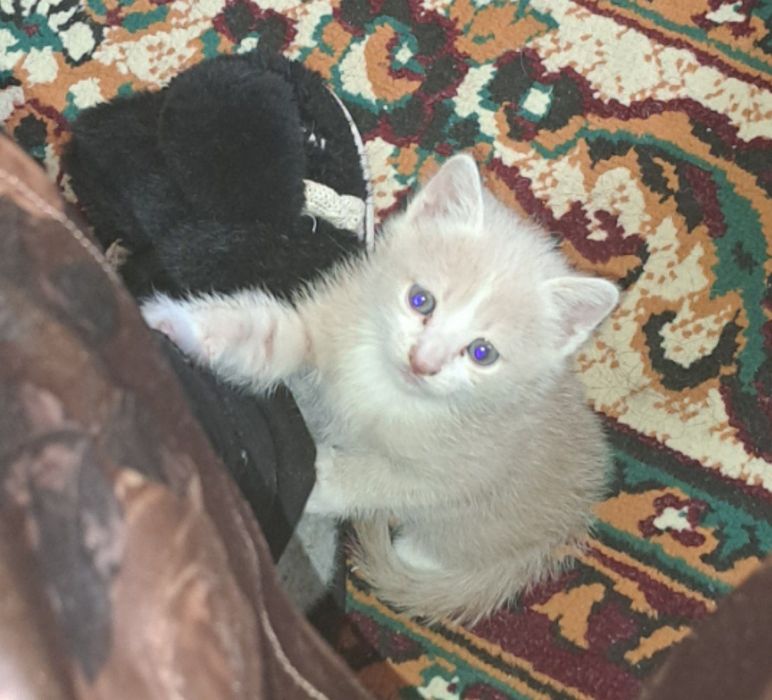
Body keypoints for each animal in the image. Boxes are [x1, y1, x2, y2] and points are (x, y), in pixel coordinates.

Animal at [140, 154, 619, 623]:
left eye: (482, 353)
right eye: (421, 300)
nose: (422, 362)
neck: (382, 386)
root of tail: (565, 525)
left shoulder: (470, 462)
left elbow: (387, 481)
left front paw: (317, 484)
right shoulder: (328, 325)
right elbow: (272, 336)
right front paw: (180, 326)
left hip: (489, 521)